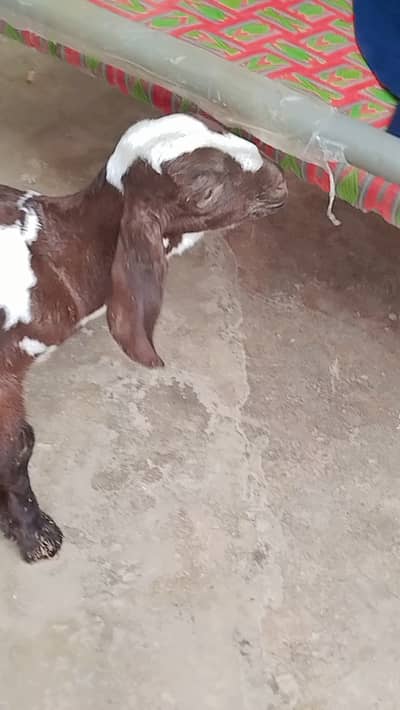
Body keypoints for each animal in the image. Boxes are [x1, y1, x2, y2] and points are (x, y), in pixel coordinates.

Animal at [0, 113, 287, 562]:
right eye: (206, 191)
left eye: (221, 127)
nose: (279, 181)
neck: (58, 256)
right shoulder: (6, 367)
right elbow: (16, 448)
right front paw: (36, 534)